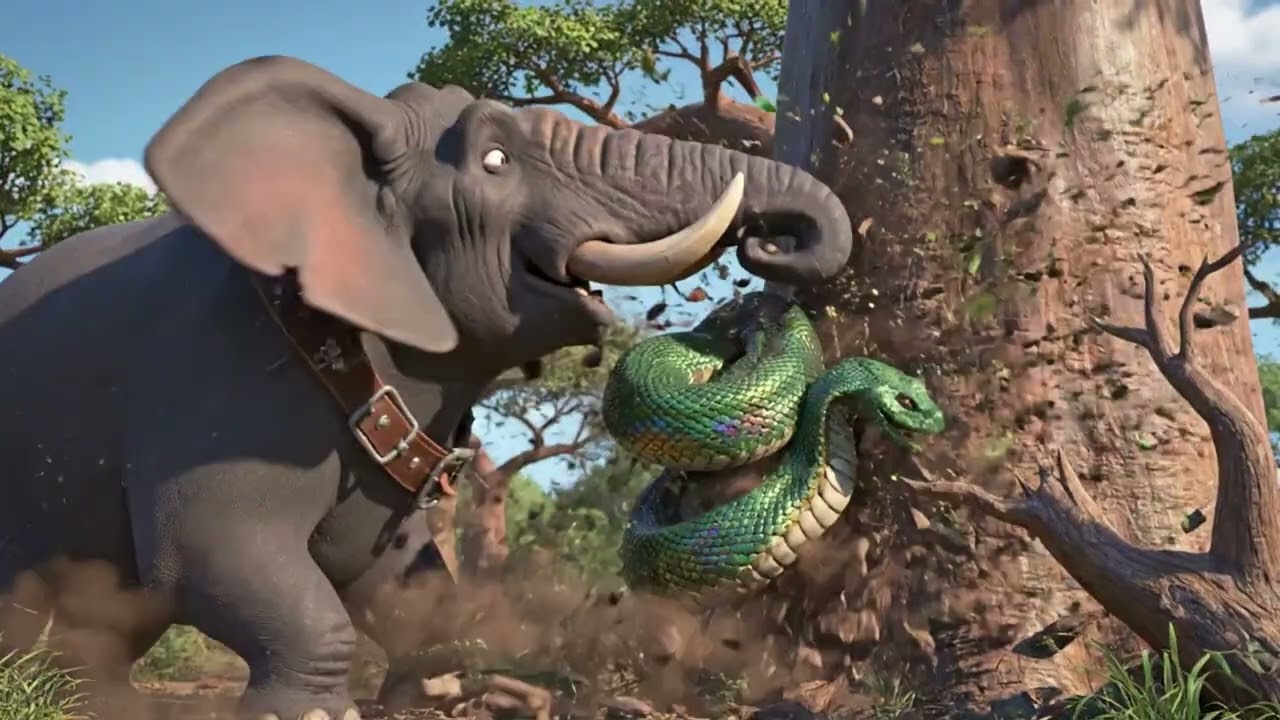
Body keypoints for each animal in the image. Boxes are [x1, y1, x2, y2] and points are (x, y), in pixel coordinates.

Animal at [0, 55, 852, 720]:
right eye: (496, 160)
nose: (768, 247)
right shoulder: (207, 380)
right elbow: (212, 556)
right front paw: (319, 710)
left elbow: (397, 575)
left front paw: (439, 692)